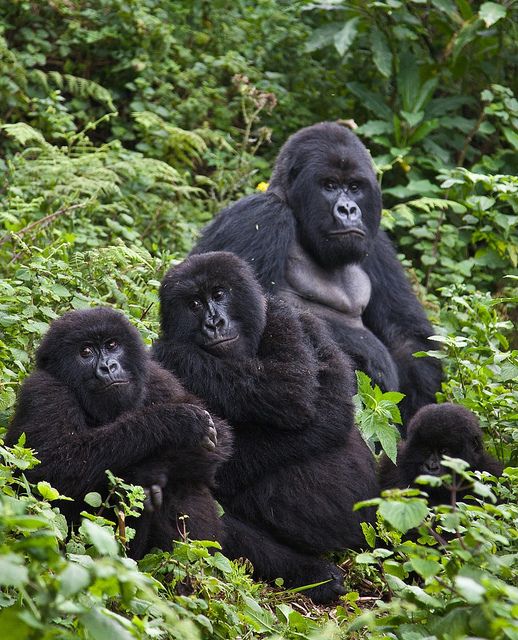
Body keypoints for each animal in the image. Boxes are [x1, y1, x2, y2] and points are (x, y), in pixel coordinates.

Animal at [6, 308, 233, 556]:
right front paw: (174, 422)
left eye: (112, 345)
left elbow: (217, 442)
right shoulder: (43, 390)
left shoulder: (158, 377)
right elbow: (52, 469)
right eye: (85, 352)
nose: (108, 367)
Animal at [152, 251, 380, 604]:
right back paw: (312, 574)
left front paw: (178, 354)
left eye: (219, 294)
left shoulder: (288, 318)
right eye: (194, 304)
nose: (213, 323)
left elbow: (297, 392)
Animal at [193, 122, 444, 428]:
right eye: (330, 186)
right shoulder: (258, 217)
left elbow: (406, 335)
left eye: (354, 187)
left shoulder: (377, 244)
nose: (348, 210)